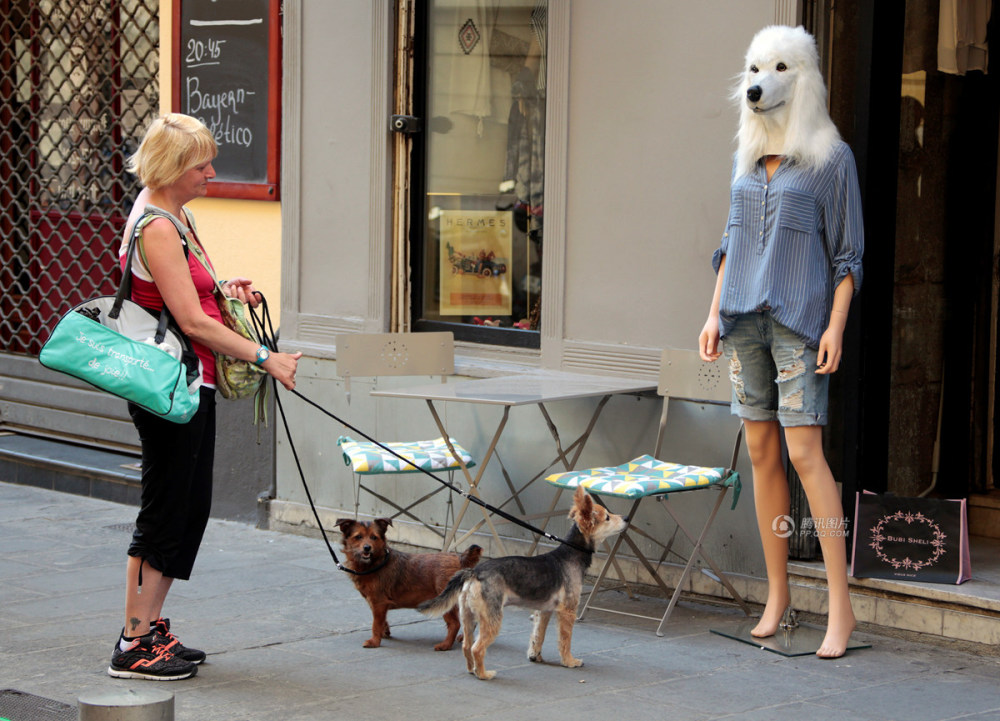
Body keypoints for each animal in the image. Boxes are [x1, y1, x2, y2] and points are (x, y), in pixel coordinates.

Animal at [336, 516, 484, 648]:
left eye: (374, 537)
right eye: (358, 537)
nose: (367, 548)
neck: (375, 562)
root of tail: (460, 559)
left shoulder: (378, 602)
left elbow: (376, 624)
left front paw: (374, 641)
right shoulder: (378, 604)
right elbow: (382, 620)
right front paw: (385, 632)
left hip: (445, 601)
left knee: (455, 624)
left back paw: (446, 645)